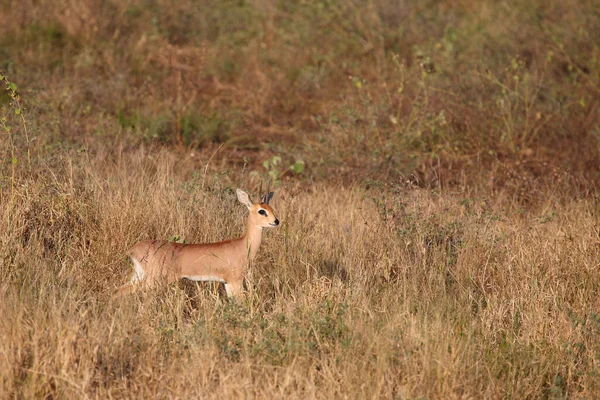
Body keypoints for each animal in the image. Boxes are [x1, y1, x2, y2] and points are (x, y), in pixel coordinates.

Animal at [115, 189, 278, 298]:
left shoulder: (227, 282)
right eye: (261, 211)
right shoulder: (235, 280)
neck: (242, 246)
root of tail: (133, 249)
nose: (276, 221)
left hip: (138, 275)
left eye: (271, 208)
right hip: (152, 280)